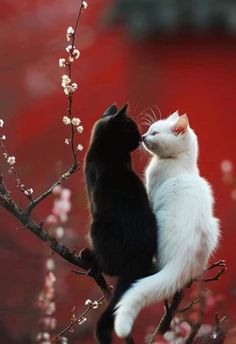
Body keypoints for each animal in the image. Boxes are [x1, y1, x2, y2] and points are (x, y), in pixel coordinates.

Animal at [84, 105, 158, 344]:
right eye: (132, 129)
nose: (140, 137)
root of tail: (139, 256)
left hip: (97, 227)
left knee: (111, 267)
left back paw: (89, 258)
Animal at [114, 111, 219, 338]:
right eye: (148, 129)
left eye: (155, 133)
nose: (143, 136)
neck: (179, 163)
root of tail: (183, 263)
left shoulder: (151, 195)